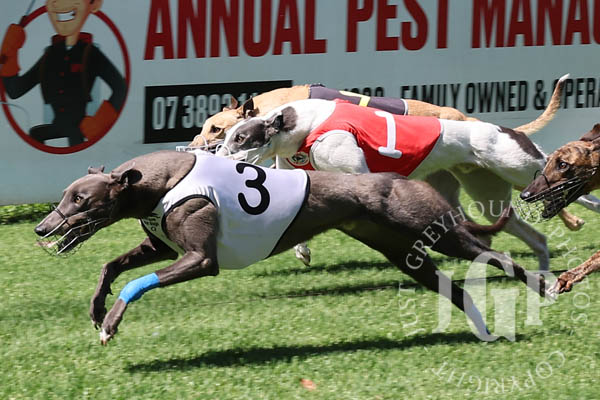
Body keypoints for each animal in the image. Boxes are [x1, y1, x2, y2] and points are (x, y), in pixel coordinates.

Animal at [34, 150, 548, 345]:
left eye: (81, 199)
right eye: (64, 195)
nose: (42, 228)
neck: (163, 178)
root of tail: (414, 182)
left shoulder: (200, 259)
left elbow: (136, 283)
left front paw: (110, 325)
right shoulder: (162, 248)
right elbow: (111, 266)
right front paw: (97, 309)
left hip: (437, 232)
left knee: (497, 257)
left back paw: (545, 286)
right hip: (407, 255)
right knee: (456, 290)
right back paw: (484, 330)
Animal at [215, 76, 600, 272]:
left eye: (239, 138)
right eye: (225, 137)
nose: (216, 156)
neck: (299, 124)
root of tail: (506, 129)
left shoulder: (357, 169)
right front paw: (302, 251)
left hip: (523, 168)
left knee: (564, 182)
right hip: (489, 196)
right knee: (534, 236)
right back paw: (542, 271)